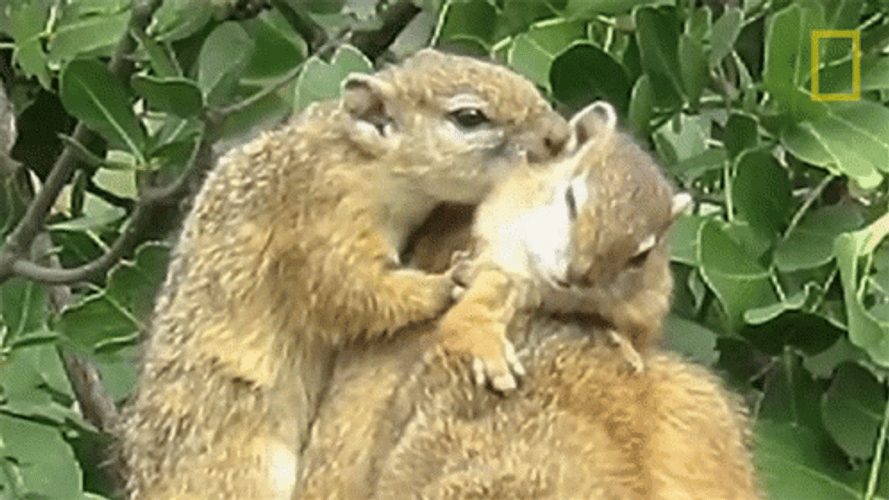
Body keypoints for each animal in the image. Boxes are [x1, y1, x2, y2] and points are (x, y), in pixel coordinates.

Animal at [119, 48, 570, 500]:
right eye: (470, 117)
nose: (560, 136)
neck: (361, 157)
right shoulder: (320, 219)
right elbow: (350, 293)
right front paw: (446, 283)